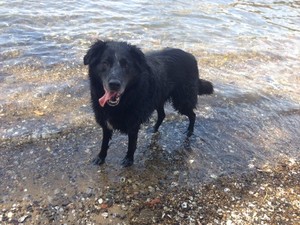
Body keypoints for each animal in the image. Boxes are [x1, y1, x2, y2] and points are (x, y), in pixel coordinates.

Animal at [83, 40, 212, 167]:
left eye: (126, 65)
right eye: (105, 63)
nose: (114, 84)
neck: (124, 101)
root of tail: (191, 56)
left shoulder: (133, 124)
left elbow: (131, 145)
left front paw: (129, 160)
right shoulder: (105, 122)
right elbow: (104, 143)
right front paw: (100, 157)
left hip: (182, 101)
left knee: (193, 115)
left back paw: (189, 131)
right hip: (158, 98)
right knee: (162, 115)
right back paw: (154, 129)